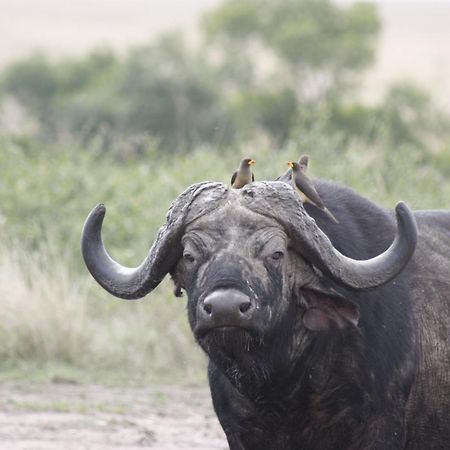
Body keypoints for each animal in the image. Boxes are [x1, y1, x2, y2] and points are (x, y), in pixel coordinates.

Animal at [81, 180, 450, 450]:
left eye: (276, 253)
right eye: (189, 256)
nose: (226, 308)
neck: (285, 387)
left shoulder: (380, 428)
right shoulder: (241, 433)